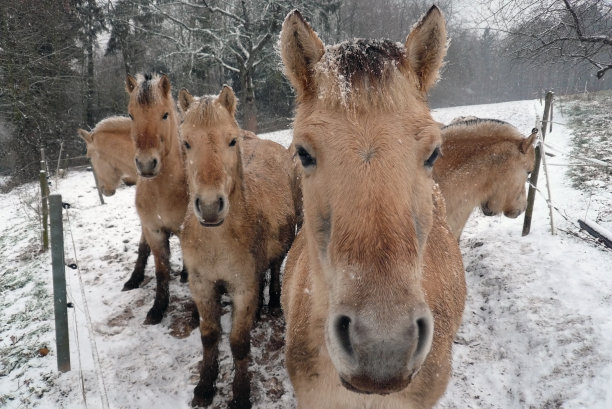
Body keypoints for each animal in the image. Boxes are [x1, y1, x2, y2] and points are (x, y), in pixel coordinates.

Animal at [123, 72, 189, 322]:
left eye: (164, 114)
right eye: (131, 114)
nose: (146, 164)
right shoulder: (154, 229)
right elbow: (161, 271)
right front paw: (158, 308)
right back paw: (133, 279)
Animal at [178, 84, 298, 406]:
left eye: (231, 141)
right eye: (185, 143)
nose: (209, 207)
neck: (217, 242)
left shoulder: (243, 287)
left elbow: (239, 343)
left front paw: (241, 394)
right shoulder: (201, 285)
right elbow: (209, 336)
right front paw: (204, 386)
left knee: (273, 269)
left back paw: (272, 303)